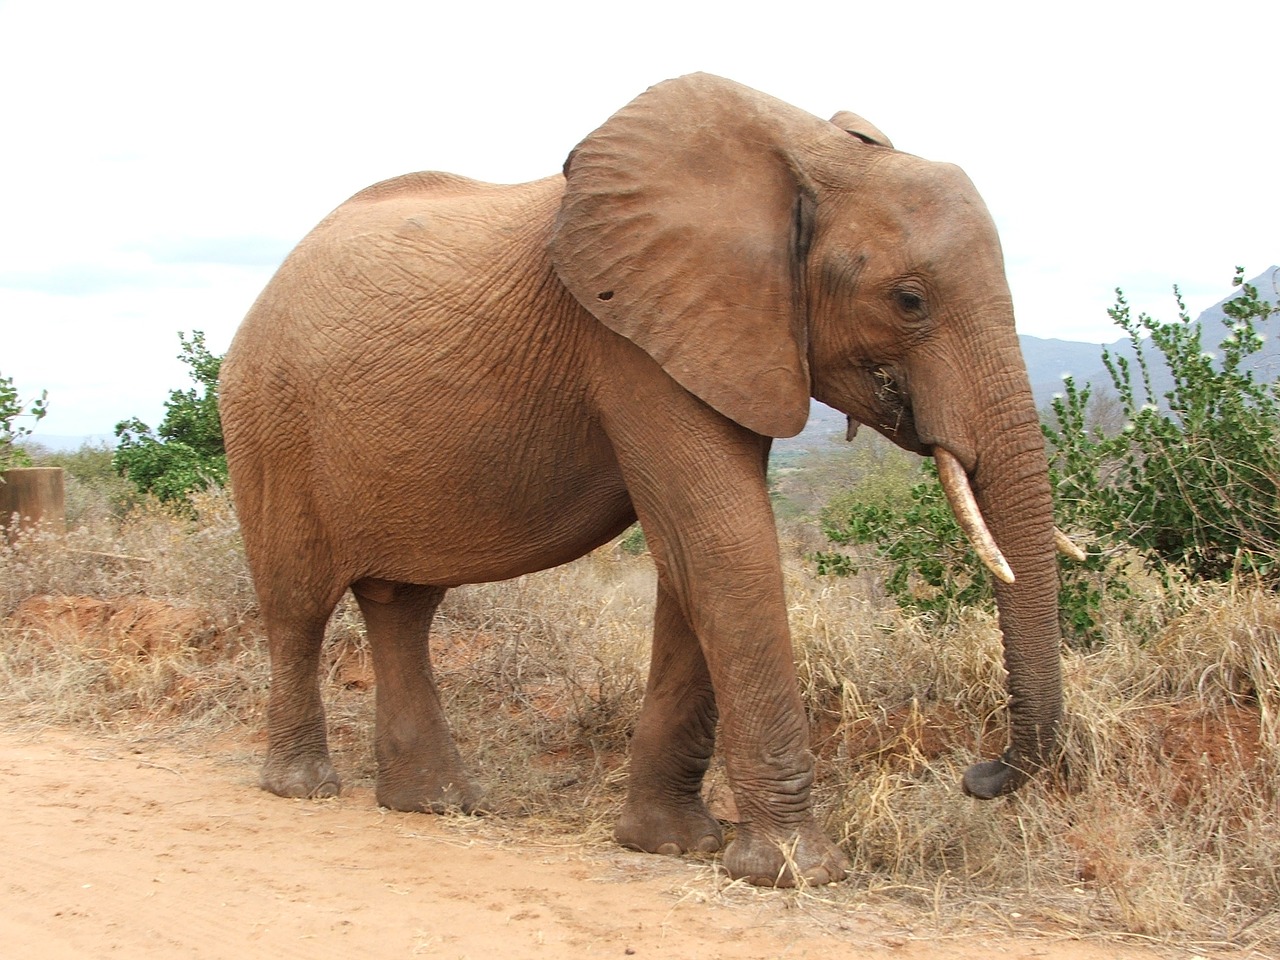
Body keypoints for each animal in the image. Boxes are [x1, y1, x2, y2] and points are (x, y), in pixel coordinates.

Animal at [222, 73, 1070, 885]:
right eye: (909, 300)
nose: (981, 775)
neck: (812, 153)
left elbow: (691, 564)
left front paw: (671, 845)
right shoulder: (628, 336)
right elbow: (724, 546)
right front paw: (795, 871)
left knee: (404, 607)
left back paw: (434, 805)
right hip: (268, 418)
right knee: (297, 603)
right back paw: (304, 787)